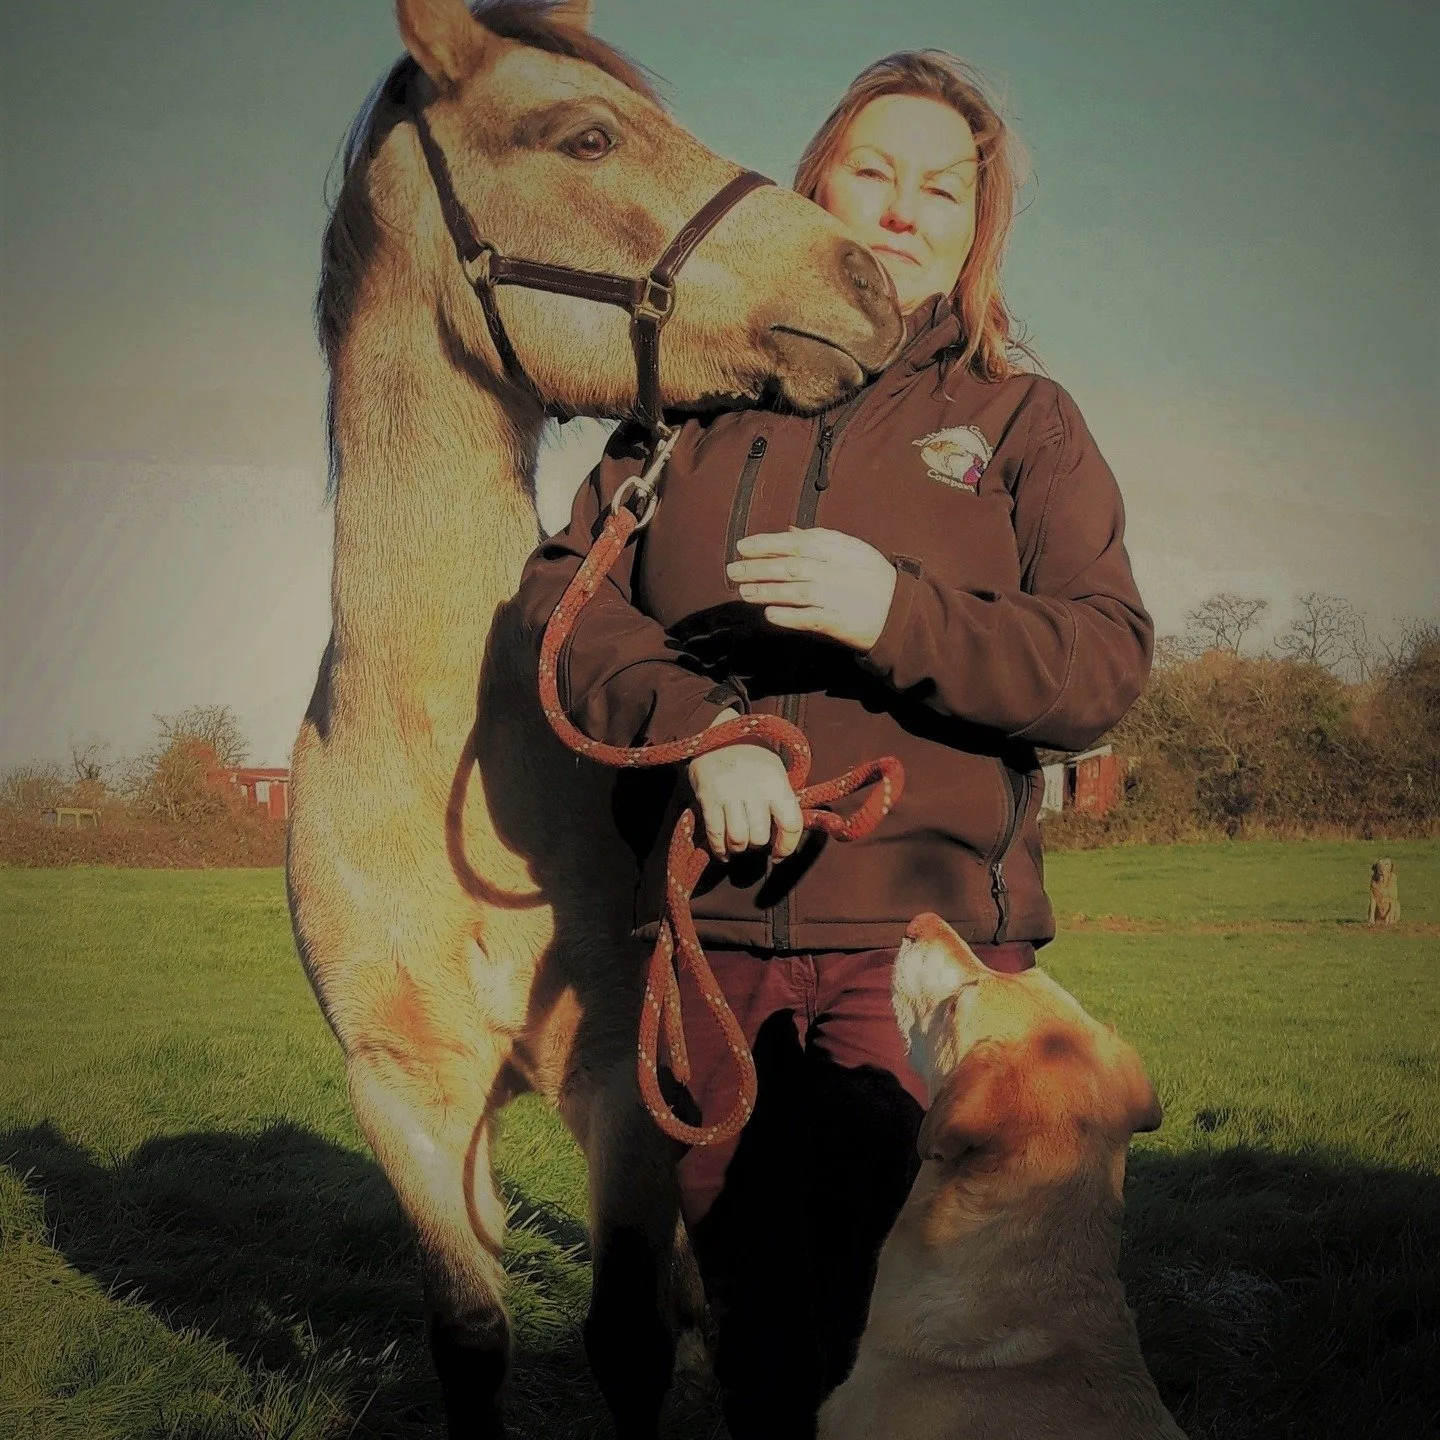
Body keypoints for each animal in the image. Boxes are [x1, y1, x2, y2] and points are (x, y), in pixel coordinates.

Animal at [286, 1, 900, 1434]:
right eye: (584, 136)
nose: (870, 283)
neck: (436, 775)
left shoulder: (625, 1083)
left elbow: (626, 1336)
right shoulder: (405, 1099)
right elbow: (469, 1333)